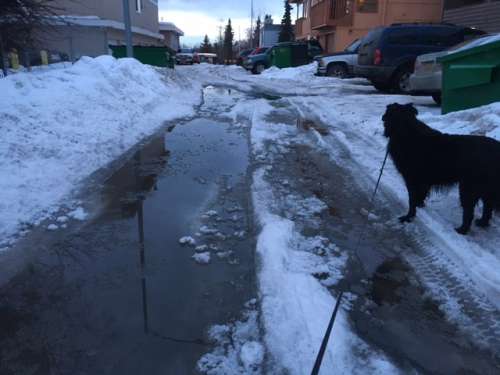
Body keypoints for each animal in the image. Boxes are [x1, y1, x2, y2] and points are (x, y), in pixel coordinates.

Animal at [382, 103, 500, 235]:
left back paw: (462, 229)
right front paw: (419, 205)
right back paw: (482, 222)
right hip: (484, 187)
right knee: (488, 206)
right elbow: (419, 196)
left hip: (469, 187)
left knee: (469, 211)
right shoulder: (422, 181)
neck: (407, 132)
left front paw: (408, 217)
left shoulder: (412, 179)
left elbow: (411, 200)